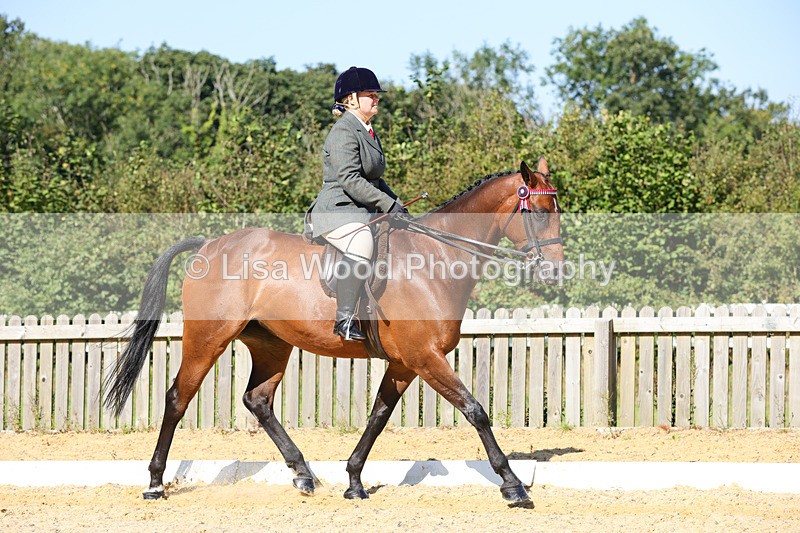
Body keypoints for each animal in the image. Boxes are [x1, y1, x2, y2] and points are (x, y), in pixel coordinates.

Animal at [104, 157, 564, 504]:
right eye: (540, 214)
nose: (555, 272)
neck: (436, 258)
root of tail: (208, 246)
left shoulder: (405, 363)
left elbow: (378, 416)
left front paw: (355, 481)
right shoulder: (425, 357)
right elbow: (475, 410)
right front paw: (513, 485)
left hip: (272, 345)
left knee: (258, 400)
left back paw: (303, 474)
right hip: (208, 339)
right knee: (177, 398)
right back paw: (154, 483)